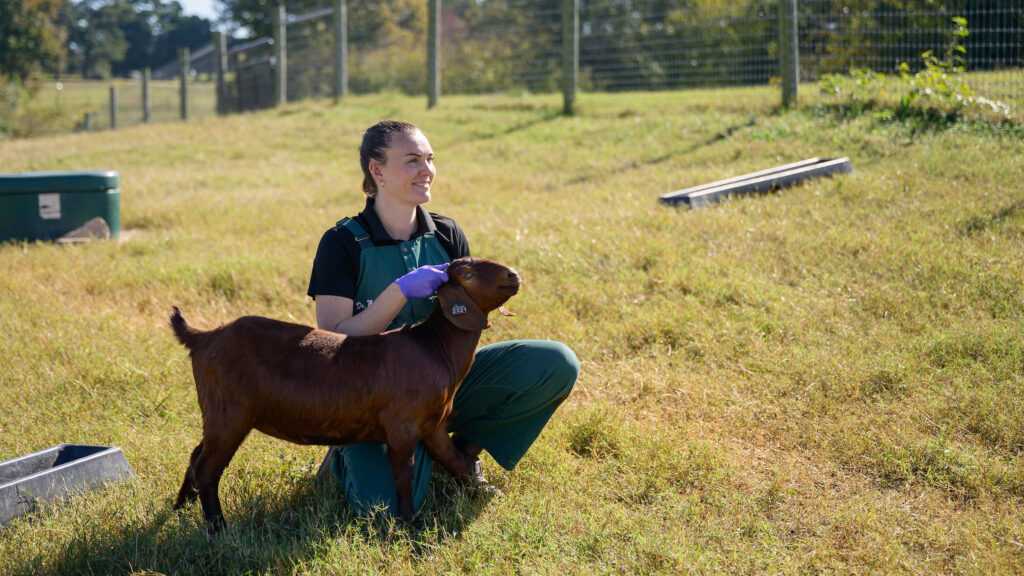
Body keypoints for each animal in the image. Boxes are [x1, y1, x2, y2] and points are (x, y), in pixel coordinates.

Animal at [171, 256, 520, 528]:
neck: (435, 347)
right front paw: (410, 522)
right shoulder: (402, 424)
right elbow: (403, 475)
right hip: (229, 412)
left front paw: (481, 494)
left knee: (196, 455)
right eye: (467, 275)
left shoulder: (433, 425)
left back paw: (180, 509)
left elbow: (456, 460)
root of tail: (202, 337)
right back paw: (218, 527)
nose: (513, 275)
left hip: (219, 413)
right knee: (208, 467)